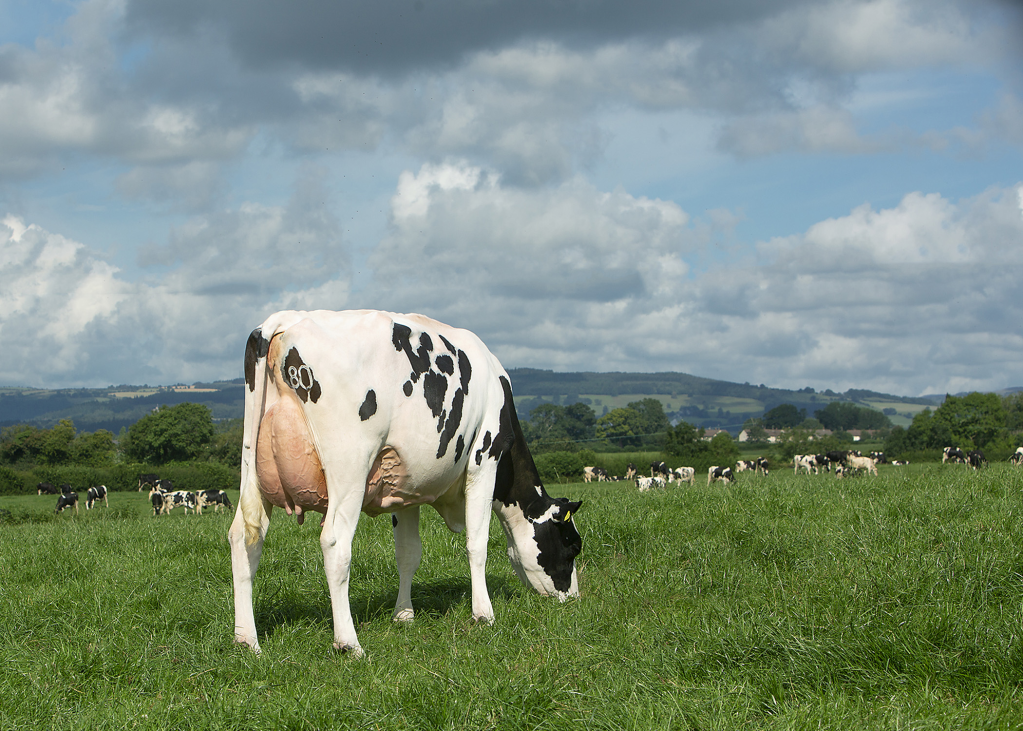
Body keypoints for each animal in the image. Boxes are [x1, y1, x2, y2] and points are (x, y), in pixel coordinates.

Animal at [231, 310, 585, 658]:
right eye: (571, 547)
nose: (574, 598)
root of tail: (286, 319)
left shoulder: (405, 489)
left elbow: (408, 553)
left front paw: (403, 615)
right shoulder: (484, 461)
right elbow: (477, 544)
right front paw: (484, 614)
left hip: (251, 468)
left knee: (244, 537)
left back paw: (247, 640)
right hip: (349, 467)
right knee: (334, 542)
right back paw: (348, 642)